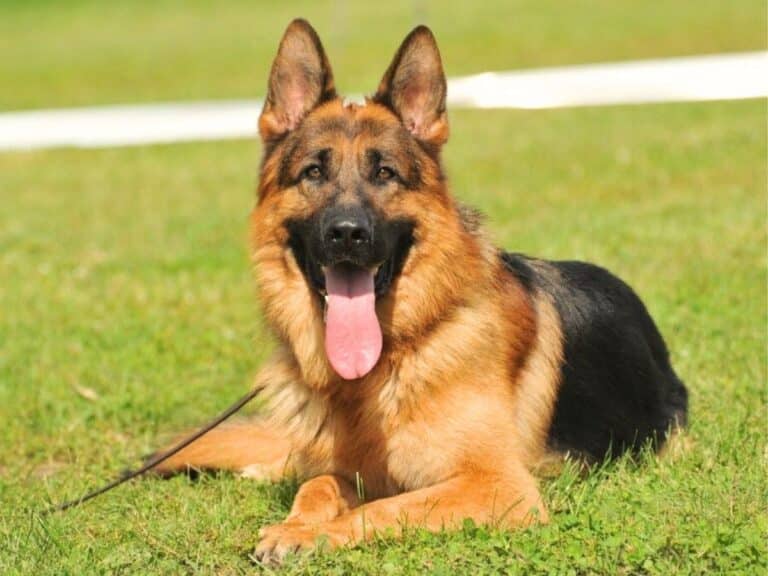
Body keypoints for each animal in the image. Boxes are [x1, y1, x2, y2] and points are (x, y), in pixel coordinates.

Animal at [153, 19, 688, 564]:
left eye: (385, 172)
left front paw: (305, 534)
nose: (347, 234)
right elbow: (317, 485)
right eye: (314, 172)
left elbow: (385, 508)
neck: (391, 359)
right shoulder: (348, 470)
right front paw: (296, 522)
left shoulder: (497, 486)